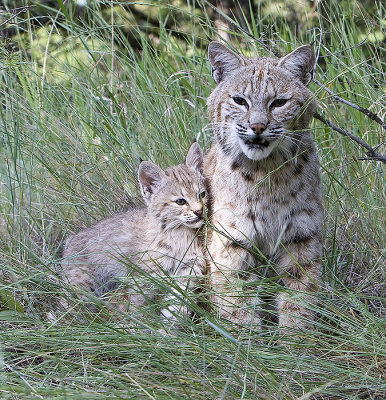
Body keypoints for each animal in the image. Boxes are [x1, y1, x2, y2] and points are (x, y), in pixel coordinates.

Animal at [61, 142, 208, 320]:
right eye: (180, 201)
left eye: (202, 194)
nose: (199, 212)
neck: (178, 231)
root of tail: (71, 240)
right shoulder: (144, 275)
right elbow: (139, 305)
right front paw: (142, 324)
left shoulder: (190, 263)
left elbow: (179, 296)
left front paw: (170, 321)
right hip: (82, 286)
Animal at [205, 40, 322, 330]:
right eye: (239, 101)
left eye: (279, 103)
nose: (257, 127)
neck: (265, 171)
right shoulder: (231, 243)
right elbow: (238, 306)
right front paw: (245, 341)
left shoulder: (300, 238)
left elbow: (298, 302)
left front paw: (295, 341)